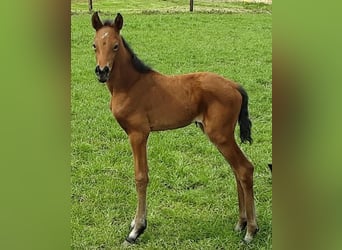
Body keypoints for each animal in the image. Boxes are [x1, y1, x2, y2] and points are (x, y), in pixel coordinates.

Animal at [91, 12, 260, 244]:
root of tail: (235, 86)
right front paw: (136, 224)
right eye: (94, 45)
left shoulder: (138, 134)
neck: (130, 85)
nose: (102, 71)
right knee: (237, 170)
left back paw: (251, 230)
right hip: (221, 135)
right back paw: (241, 223)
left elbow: (141, 177)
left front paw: (137, 229)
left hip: (220, 135)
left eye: (115, 46)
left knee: (244, 168)